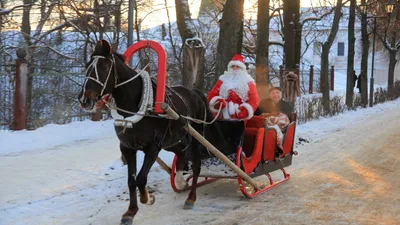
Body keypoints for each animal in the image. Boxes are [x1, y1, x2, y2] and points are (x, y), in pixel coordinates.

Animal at [78, 40, 222, 225]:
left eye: (103, 66)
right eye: (87, 65)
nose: (84, 99)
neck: (135, 107)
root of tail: (196, 93)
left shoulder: (153, 147)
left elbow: (141, 178)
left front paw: (148, 198)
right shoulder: (127, 148)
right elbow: (131, 181)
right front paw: (130, 212)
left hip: (196, 137)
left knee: (196, 166)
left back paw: (191, 198)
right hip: (172, 140)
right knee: (181, 154)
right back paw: (181, 181)